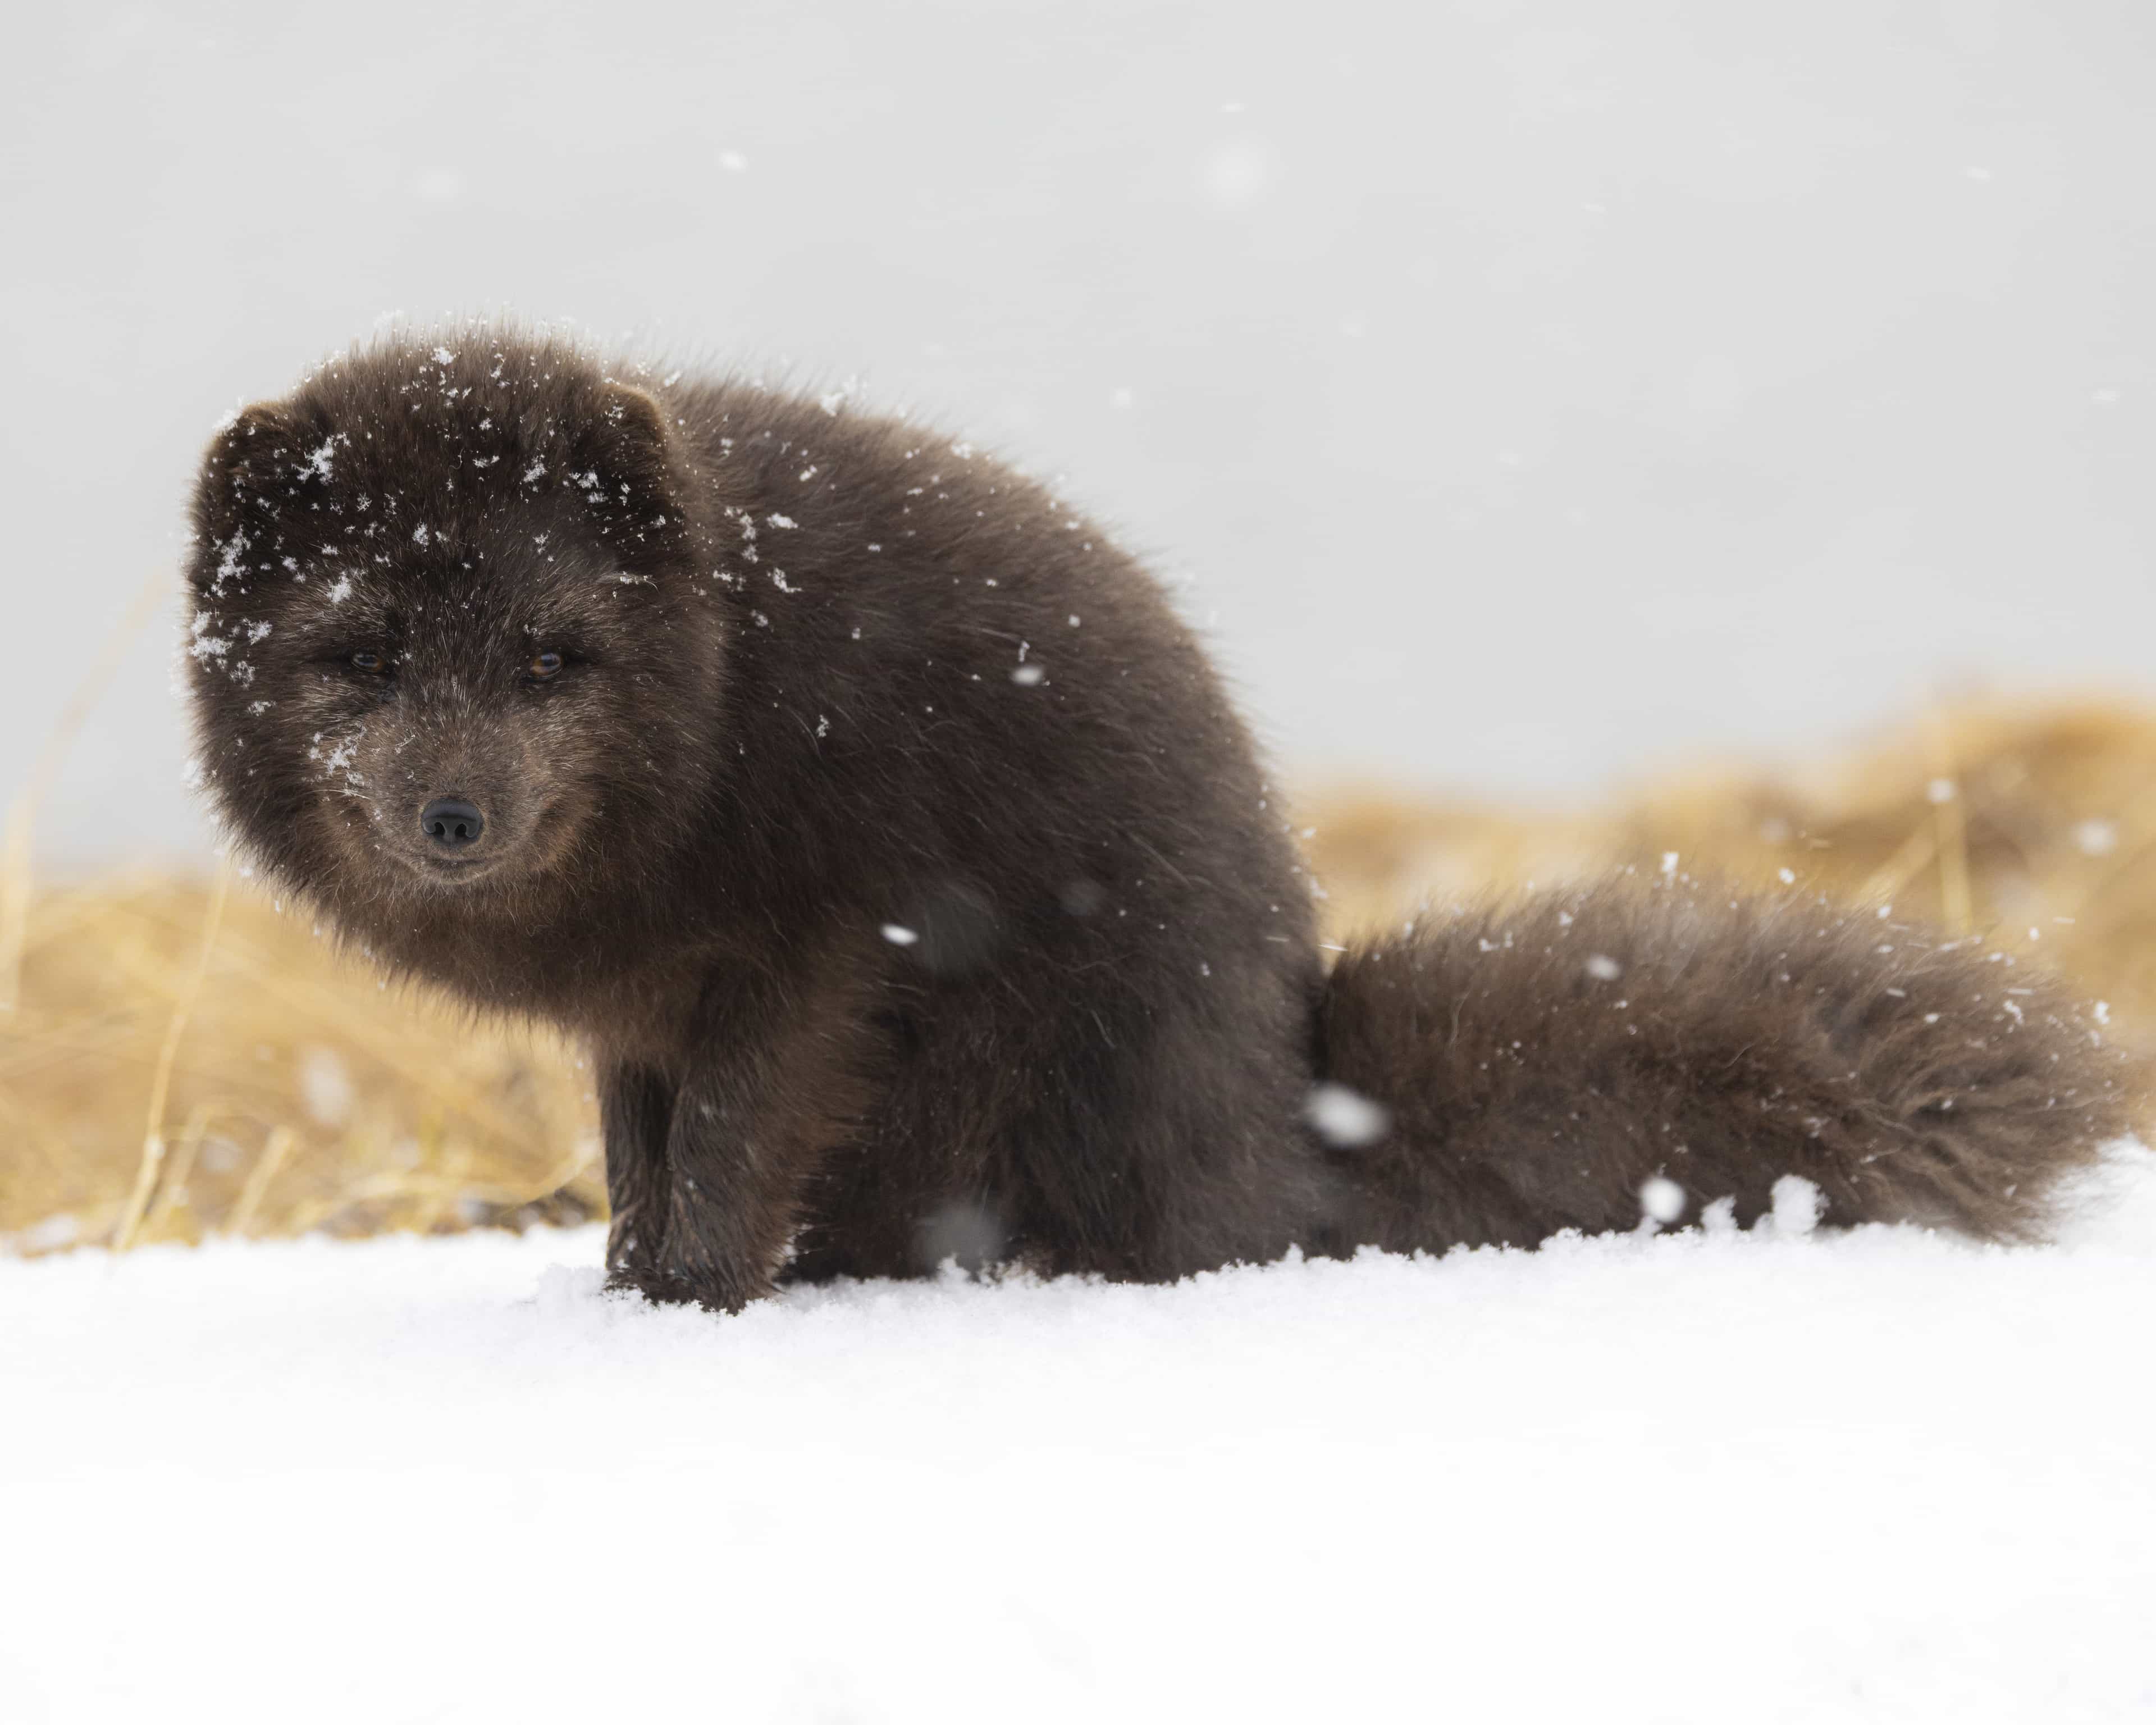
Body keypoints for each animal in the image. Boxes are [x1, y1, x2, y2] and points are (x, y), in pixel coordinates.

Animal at [182, 326, 2137, 1309]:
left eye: (546, 651)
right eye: (356, 652)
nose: (450, 814)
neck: (740, 689)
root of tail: (1286, 1134)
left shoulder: (808, 963)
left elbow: (727, 1160)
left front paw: (687, 1315)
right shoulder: (639, 1017)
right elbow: (639, 1157)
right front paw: (610, 1294)